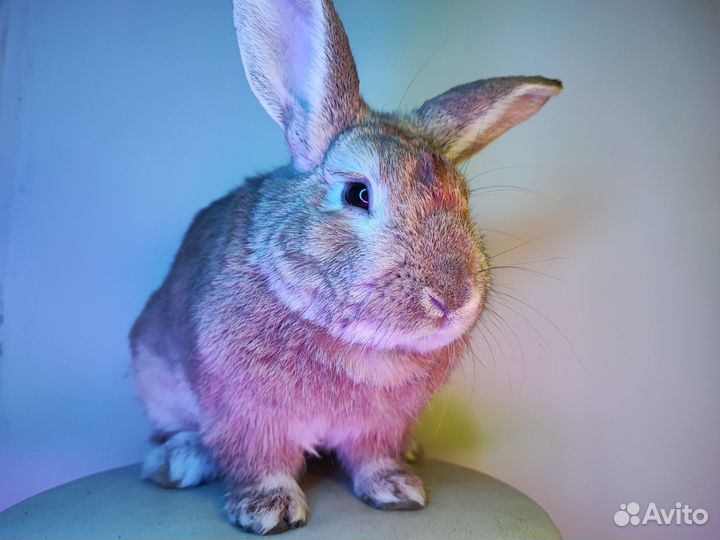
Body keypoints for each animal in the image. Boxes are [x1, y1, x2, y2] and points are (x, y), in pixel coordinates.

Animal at [129, 0, 562, 534]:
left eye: (465, 198)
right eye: (358, 194)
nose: (454, 297)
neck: (362, 345)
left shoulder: (381, 426)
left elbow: (373, 457)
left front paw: (397, 490)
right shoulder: (247, 414)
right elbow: (260, 461)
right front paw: (268, 511)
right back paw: (180, 461)